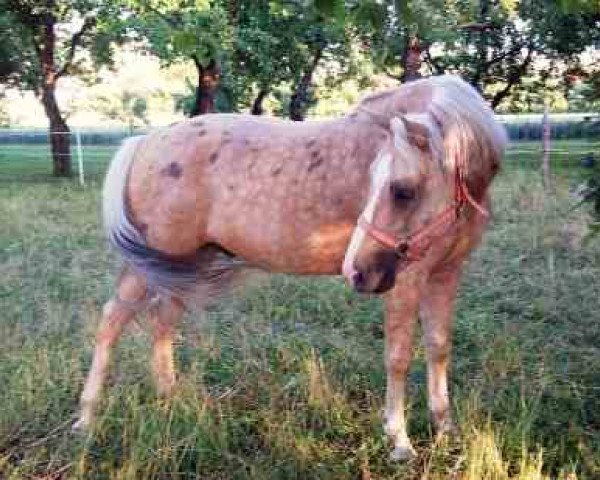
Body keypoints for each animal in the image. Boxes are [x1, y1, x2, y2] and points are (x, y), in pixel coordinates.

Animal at [74, 74, 506, 458]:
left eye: (401, 191)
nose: (356, 271)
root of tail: (144, 141)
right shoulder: (408, 280)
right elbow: (398, 356)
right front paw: (399, 439)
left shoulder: (445, 274)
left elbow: (438, 347)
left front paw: (445, 428)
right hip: (149, 267)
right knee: (111, 322)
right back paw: (86, 419)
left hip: (184, 266)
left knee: (162, 324)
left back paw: (171, 399)